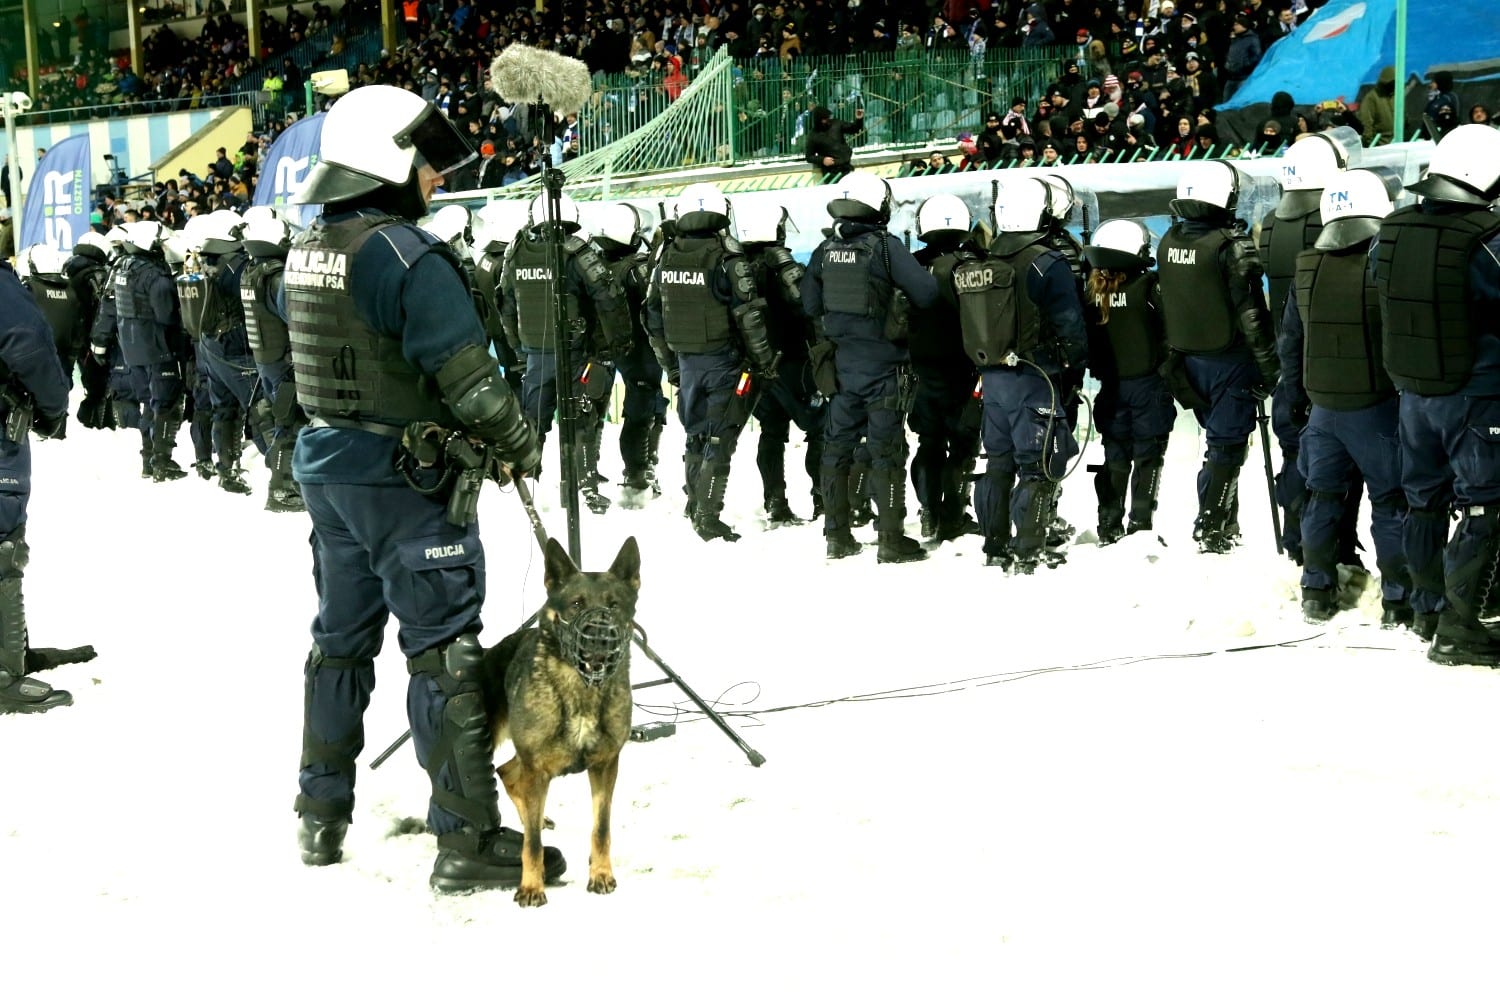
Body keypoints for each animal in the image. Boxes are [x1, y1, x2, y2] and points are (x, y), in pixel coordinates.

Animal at [483, 539, 642, 905]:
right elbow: (532, 844)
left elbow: (601, 829)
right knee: (508, 778)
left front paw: (601, 874)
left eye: (614, 605)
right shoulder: (537, 767)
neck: (583, 690)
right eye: (576, 604)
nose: (599, 637)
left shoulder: (605, 765)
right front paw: (531, 885)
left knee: (508, 772)